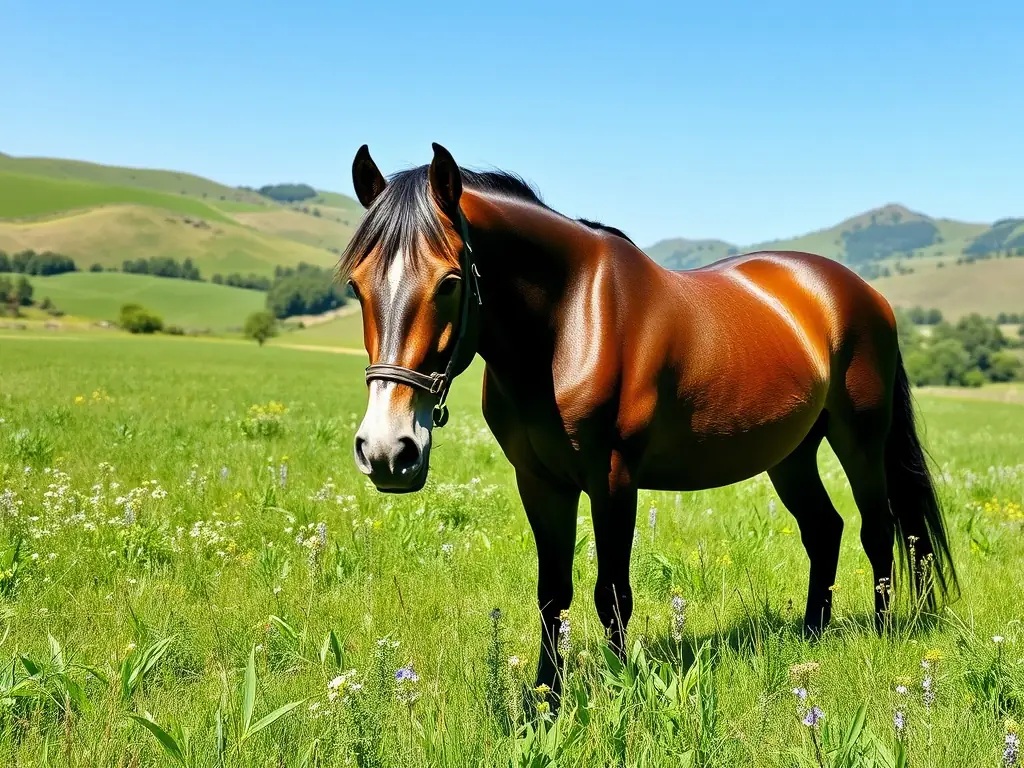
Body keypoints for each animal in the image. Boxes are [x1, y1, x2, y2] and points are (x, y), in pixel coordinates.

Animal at [338, 142, 958, 694]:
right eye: (355, 284)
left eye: (449, 282)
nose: (388, 451)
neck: (569, 321)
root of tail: (859, 292)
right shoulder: (540, 482)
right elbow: (552, 595)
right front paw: (546, 703)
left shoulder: (614, 479)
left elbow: (611, 595)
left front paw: (617, 692)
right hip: (791, 455)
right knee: (824, 529)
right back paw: (811, 638)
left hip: (861, 439)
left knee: (877, 530)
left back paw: (880, 635)